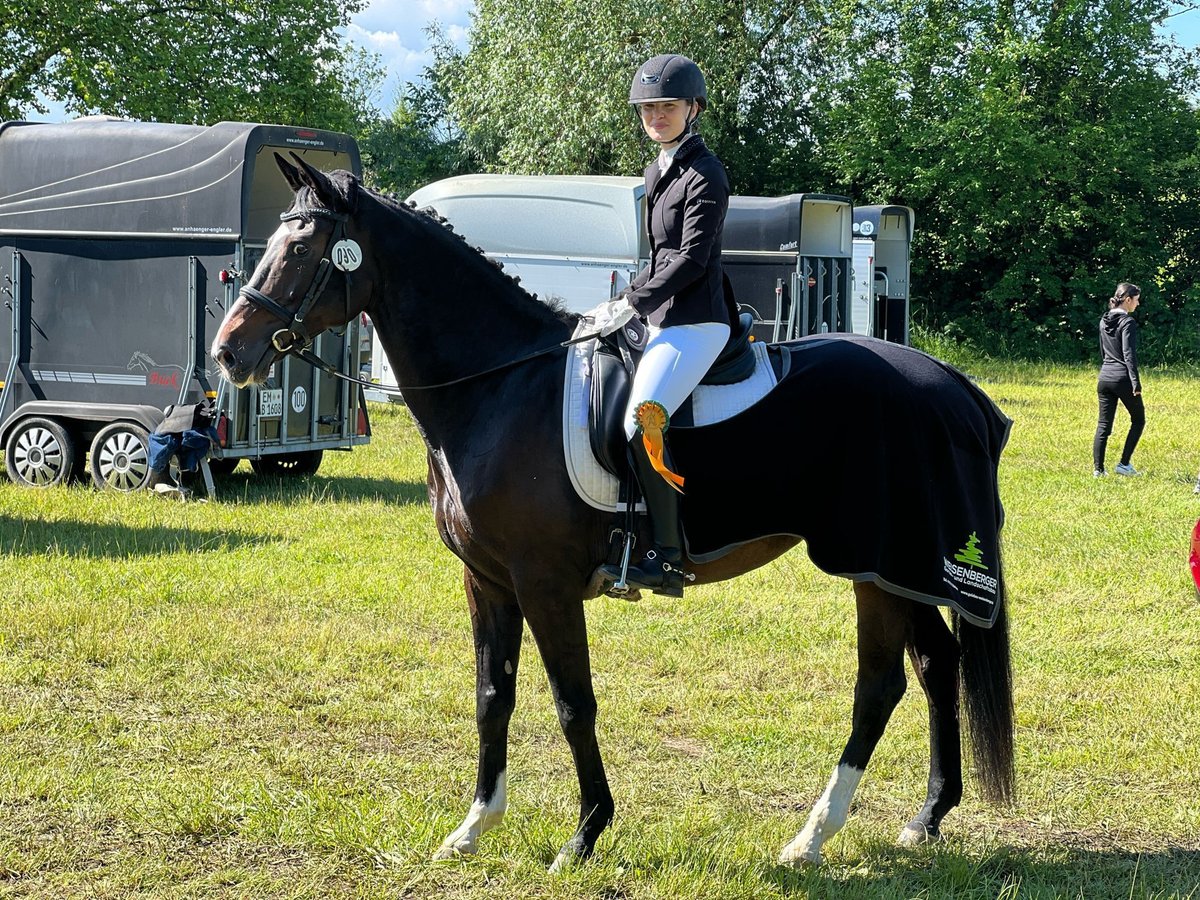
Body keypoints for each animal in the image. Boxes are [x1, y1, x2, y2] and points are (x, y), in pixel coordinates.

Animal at [208, 157, 1012, 873]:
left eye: (301, 249)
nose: (228, 353)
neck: (500, 389)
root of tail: (953, 386)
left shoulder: (545, 583)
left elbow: (573, 703)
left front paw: (585, 834)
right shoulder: (487, 581)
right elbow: (492, 696)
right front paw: (473, 828)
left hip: (874, 567)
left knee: (880, 686)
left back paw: (810, 839)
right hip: (901, 567)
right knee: (937, 664)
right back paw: (927, 817)